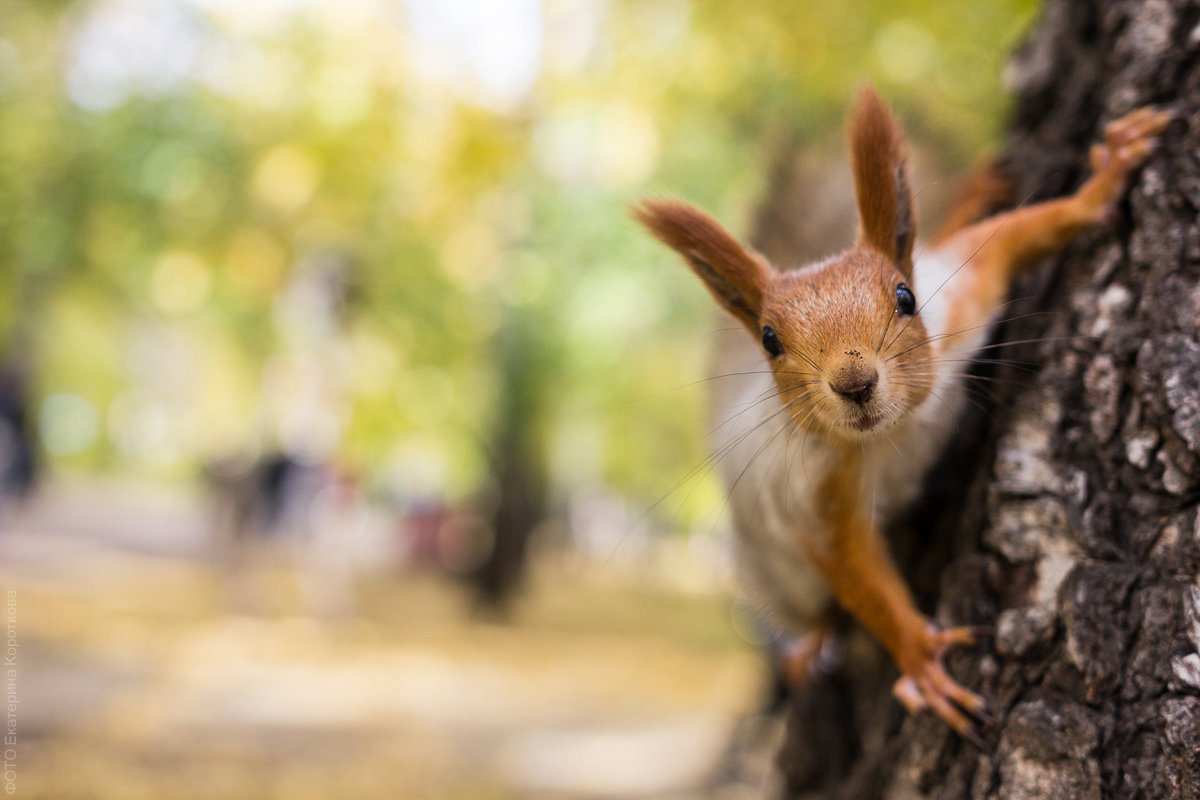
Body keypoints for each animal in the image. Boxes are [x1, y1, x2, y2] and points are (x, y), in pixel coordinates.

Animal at [638, 86, 1171, 738]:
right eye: (768, 340)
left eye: (905, 297)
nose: (854, 382)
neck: (896, 431)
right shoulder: (813, 493)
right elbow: (859, 576)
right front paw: (920, 657)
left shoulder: (962, 298)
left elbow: (1020, 233)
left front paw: (1107, 177)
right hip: (771, 573)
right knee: (819, 612)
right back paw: (808, 648)